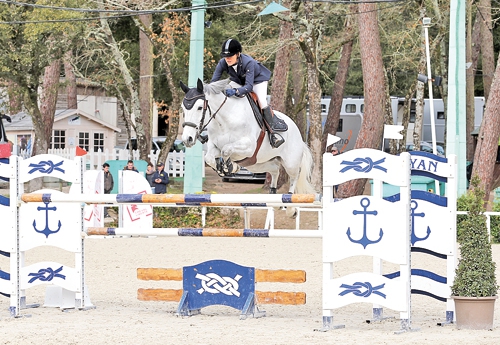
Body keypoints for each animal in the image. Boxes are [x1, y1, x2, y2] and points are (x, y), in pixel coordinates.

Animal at [181, 78, 316, 196]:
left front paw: (230, 166)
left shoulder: (249, 147)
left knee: (294, 176)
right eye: (183, 108)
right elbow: (209, 158)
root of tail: (299, 135)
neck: (224, 120)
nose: (187, 139)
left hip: (290, 163)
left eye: (199, 107)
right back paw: (272, 191)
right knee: (275, 170)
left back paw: (289, 202)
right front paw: (228, 168)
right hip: (258, 164)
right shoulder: (214, 146)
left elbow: (226, 149)